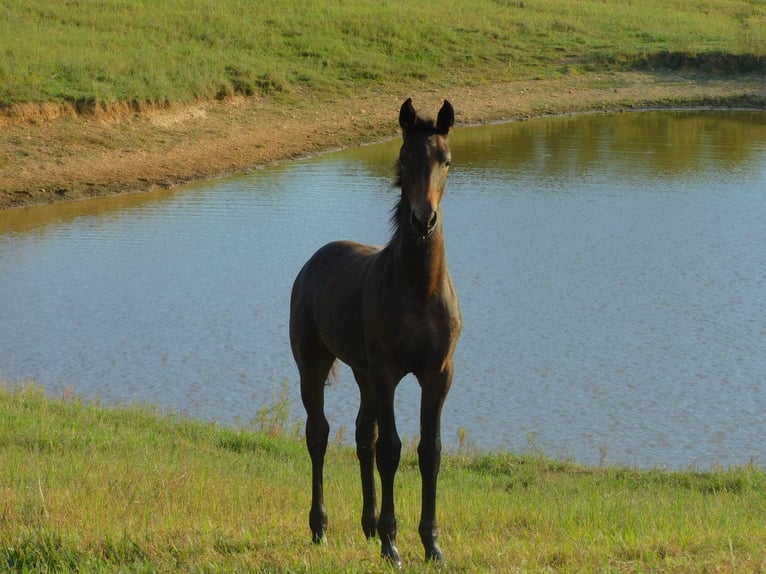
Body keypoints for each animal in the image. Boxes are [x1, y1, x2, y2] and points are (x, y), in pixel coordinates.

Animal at [289, 98, 461, 567]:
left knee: (363, 434)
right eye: (405, 157)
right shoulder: (387, 372)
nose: (423, 219)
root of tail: (311, 264)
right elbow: (392, 449)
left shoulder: (438, 374)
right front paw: (392, 544)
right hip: (314, 366)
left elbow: (430, 451)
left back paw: (365, 526)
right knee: (319, 433)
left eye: (446, 160)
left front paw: (432, 545)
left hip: (362, 373)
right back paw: (320, 527)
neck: (418, 289)